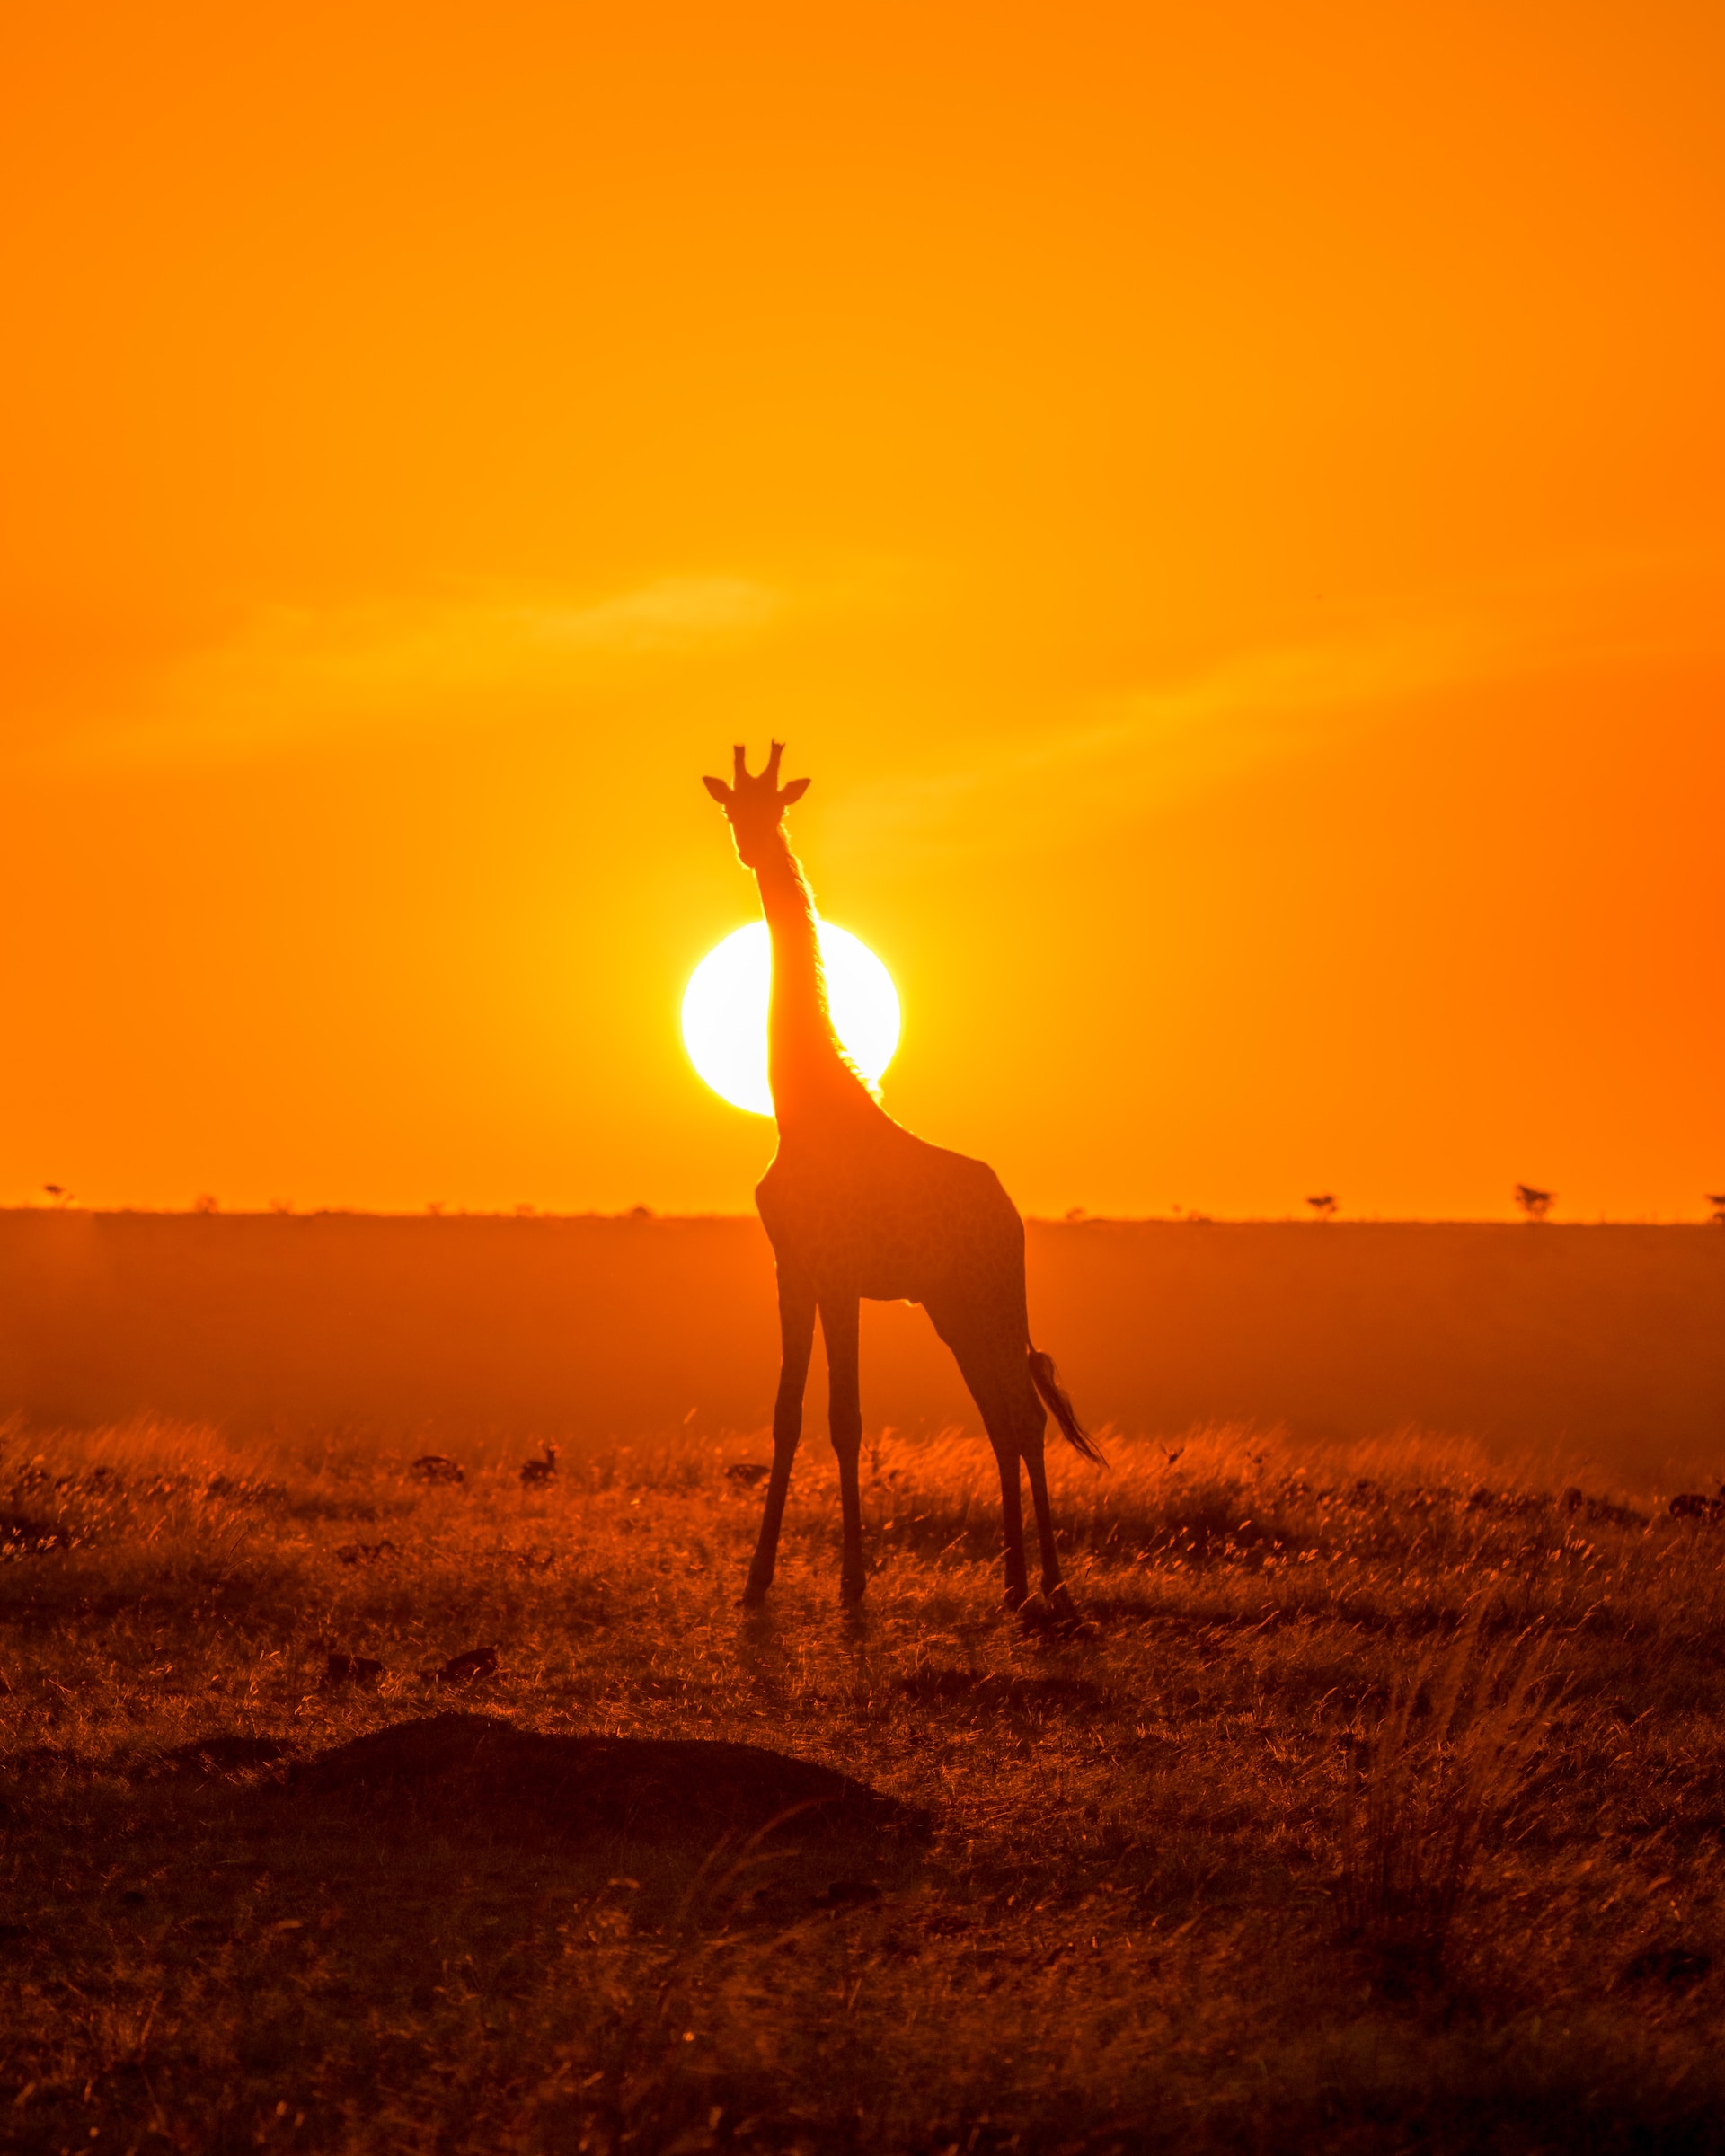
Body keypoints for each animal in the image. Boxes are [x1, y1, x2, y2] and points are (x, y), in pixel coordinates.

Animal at [703, 750, 1100, 1613]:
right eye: (730, 810)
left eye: (777, 807)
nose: (752, 847)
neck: (802, 1107)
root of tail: (1011, 1215)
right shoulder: (793, 1272)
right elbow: (786, 1415)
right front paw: (756, 1582)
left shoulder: (841, 1277)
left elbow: (846, 1418)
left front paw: (853, 1582)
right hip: (951, 1306)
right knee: (1002, 1417)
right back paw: (1015, 1585)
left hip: (991, 1296)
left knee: (1023, 1415)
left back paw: (1051, 1587)